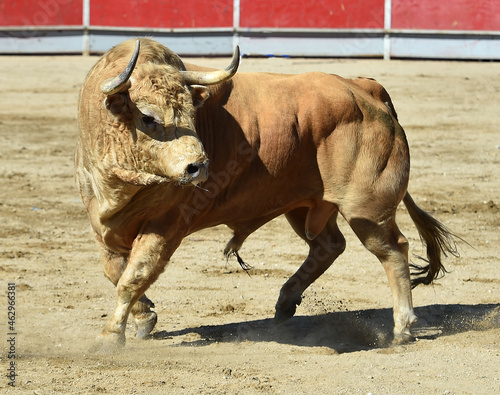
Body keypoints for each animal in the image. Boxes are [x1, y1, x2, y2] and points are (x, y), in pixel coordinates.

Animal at [74, 38, 458, 352]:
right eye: (149, 118)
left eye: (193, 115)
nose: (199, 166)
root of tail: (366, 88)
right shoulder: (101, 222)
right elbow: (114, 271)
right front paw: (145, 317)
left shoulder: (167, 224)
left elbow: (133, 276)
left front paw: (111, 336)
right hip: (305, 205)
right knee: (329, 245)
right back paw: (286, 302)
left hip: (367, 209)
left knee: (393, 250)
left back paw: (402, 327)